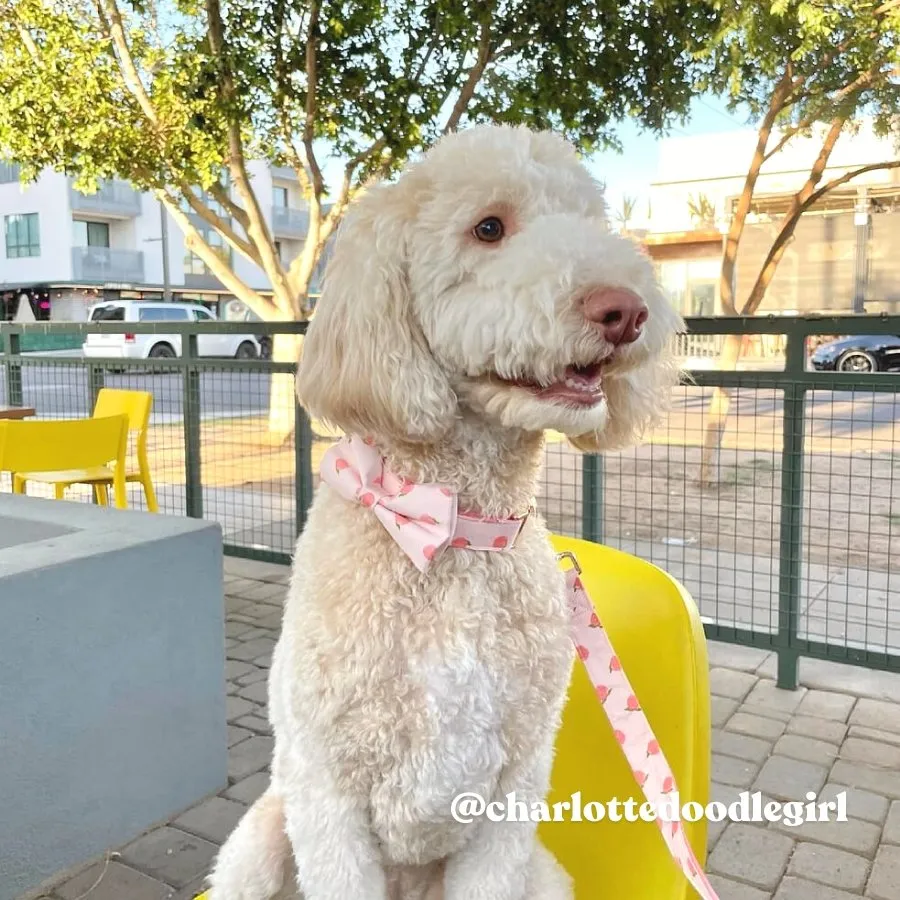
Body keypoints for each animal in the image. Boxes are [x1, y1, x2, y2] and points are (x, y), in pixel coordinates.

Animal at [206, 121, 684, 900]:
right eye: (488, 228)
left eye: (591, 221)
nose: (626, 310)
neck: (457, 530)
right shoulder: (326, 790)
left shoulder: (516, 787)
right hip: (259, 841)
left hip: (543, 876)